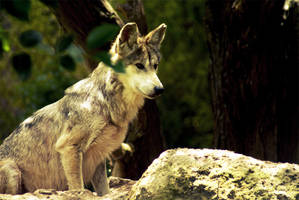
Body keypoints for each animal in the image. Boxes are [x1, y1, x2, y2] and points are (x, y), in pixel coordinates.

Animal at [0, 22, 166, 195]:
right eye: (139, 65)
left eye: (155, 66)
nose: (160, 89)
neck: (104, 102)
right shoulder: (69, 149)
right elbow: (78, 188)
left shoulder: (99, 156)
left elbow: (104, 191)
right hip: (12, 169)